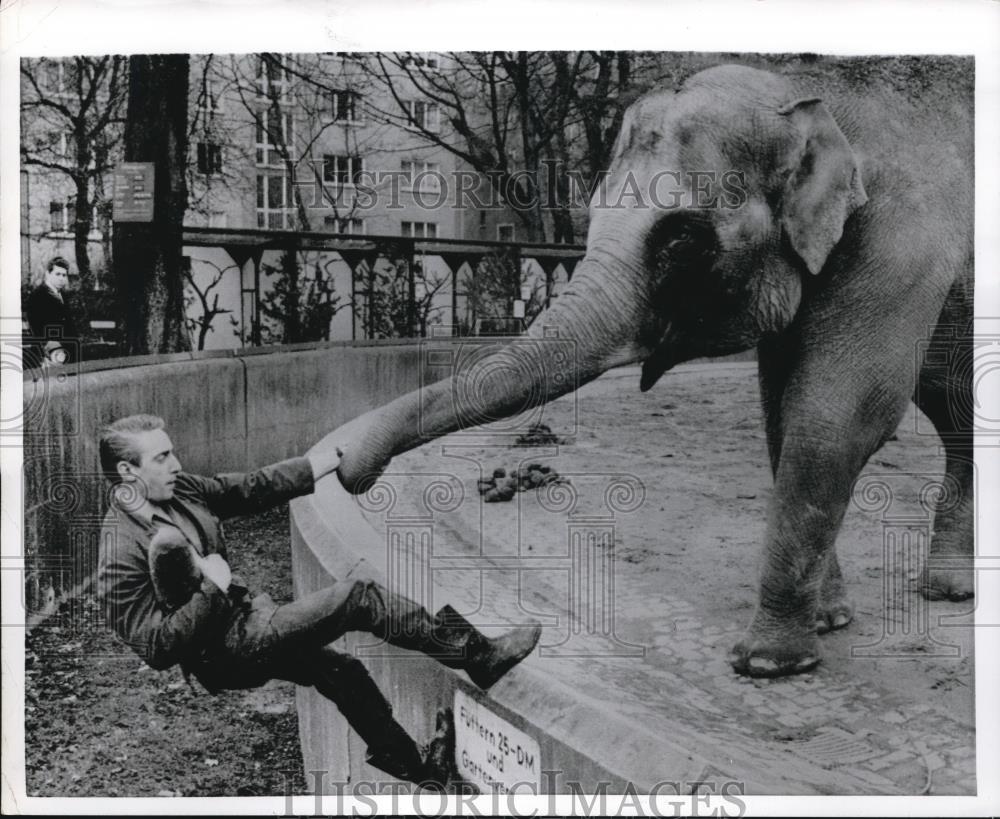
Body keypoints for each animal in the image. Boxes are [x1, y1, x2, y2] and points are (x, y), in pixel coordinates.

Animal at [334, 57, 968, 680]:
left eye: (681, 239)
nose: (346, 465)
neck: (812, 91)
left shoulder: (902, 241)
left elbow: (839, 412)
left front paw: (768, 664)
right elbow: (782, 413)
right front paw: (828, 623)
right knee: (953, 403)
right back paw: (948, 589)